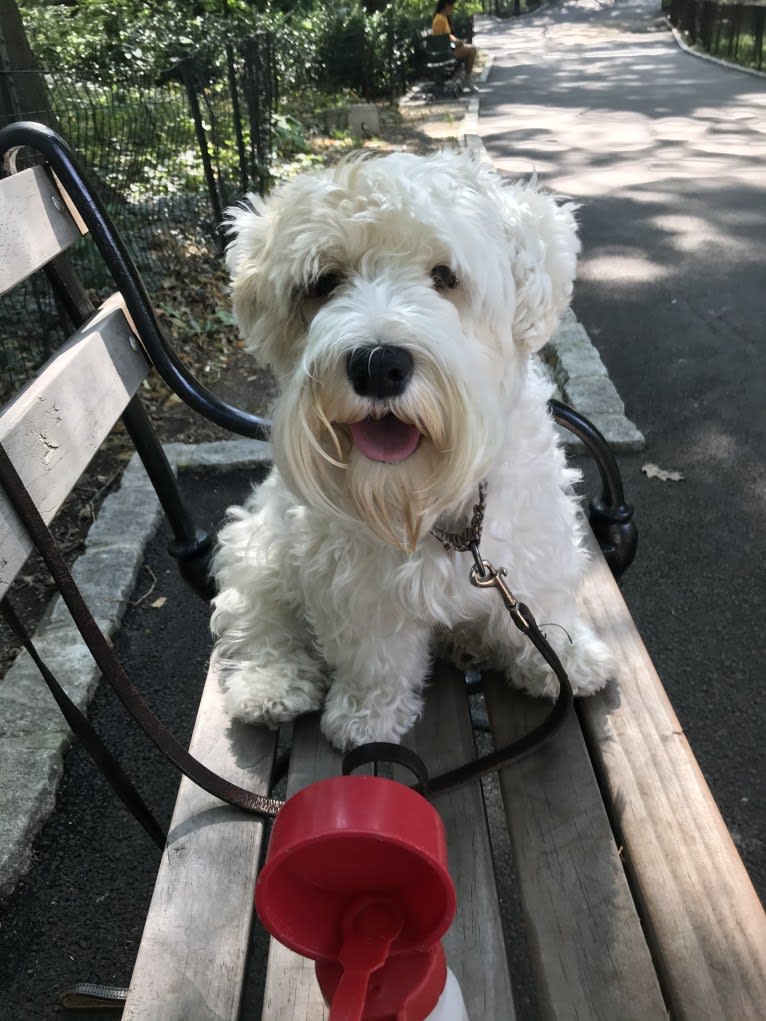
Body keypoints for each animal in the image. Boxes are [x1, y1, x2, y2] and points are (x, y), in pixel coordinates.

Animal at [211, 149, 616, 751]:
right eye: (323, 282)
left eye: (445, 276)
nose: (377, 364)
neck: (428, 503)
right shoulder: (355, 587)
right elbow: (374, 658)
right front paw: (367, 715)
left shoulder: (531, 542)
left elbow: (544, 603)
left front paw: (566, 660)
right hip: (257, 547)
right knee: (258, 621)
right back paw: (271, 683)